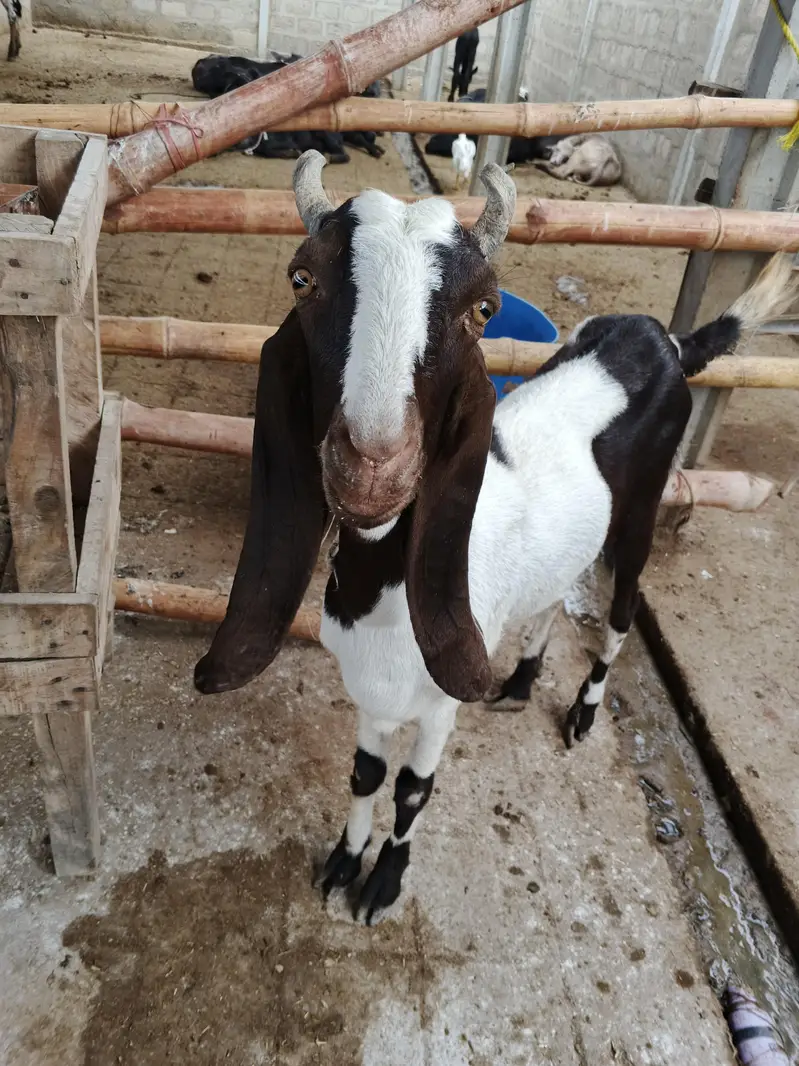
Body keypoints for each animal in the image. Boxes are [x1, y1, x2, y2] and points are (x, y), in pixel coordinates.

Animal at [194, 150, 796, 924]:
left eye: (483, 309)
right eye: (302, 279)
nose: (371, 464)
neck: (382, 592)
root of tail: (666, 340)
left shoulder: (439, 702)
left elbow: (411, 788)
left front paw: (383, 884)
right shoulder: (371, 694)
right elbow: (364, 773)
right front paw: (342, 863)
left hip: (639, 514)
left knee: (621, 608)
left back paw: (581, 713)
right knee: (557, 593)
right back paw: (520, 678)